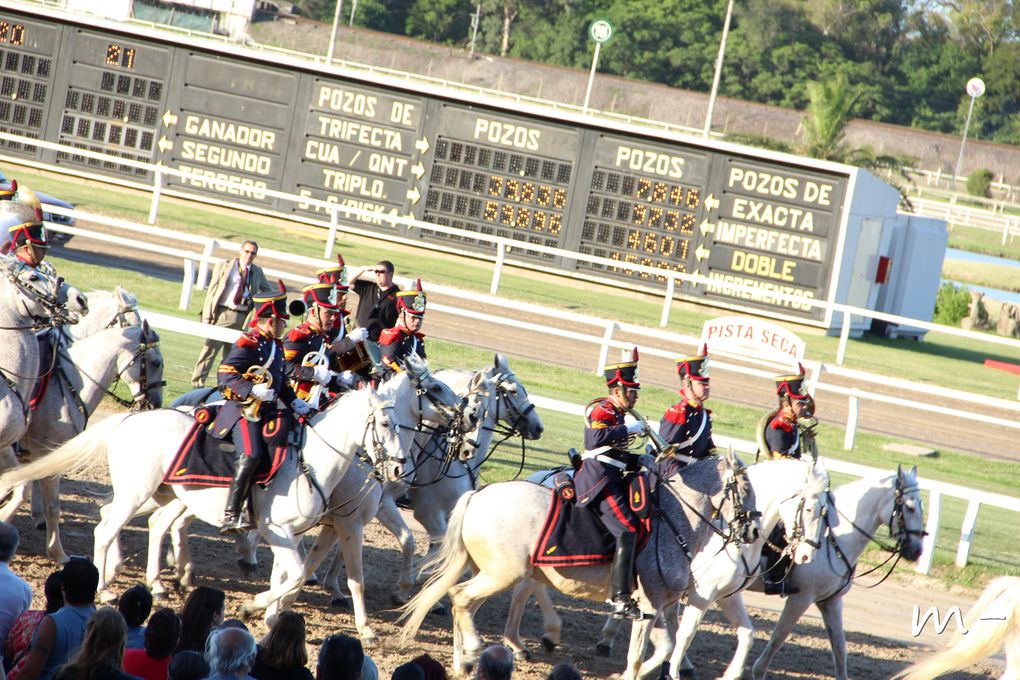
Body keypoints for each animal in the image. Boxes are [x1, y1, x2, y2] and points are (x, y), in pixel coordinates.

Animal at [0, 324, 163, 562]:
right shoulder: (45, 458)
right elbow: (51, 506)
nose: (157, 403)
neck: (70, 387)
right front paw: (57, 552)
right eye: (156, 362)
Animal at [0, 369, 430, 619]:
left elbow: (290, 575)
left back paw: (138, 578)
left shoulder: (291, 535)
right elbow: (295, 576)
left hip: (163, 496)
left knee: (134, 523)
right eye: (386, 423)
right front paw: (256, 605)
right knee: (106, 529)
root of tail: (131, 420)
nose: (398, 469)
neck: (310, 461)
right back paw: (104, 589)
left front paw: (267, 612)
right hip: (138, 493)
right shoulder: (281, 531)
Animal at [397, 454, 758, 676]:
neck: (672, 519)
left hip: (490, 574)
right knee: (461, 599)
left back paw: (465, 662)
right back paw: (474, 651)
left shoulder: (654, 607)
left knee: (463, 603)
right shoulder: (649, 605)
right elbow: (637, 656)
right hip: (502, 575)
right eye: (745, 487)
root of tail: (478, 495)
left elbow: (664, 649)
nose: (753, 531)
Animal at [750, 464, 926, 680]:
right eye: (910, 507)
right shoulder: (801, 597)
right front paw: (758, 671)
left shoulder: (831, 602)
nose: (917, 550)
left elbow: (840, 648)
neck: (833, 540)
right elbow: (779, 635)